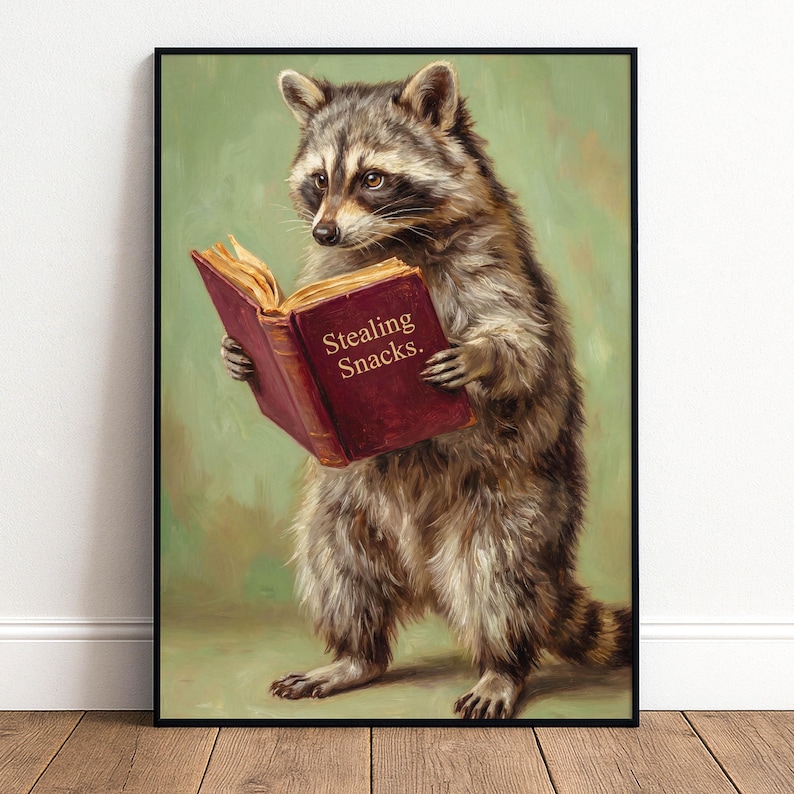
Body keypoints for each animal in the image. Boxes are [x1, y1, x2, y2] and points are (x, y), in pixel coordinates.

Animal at [221, 61, 632, 719]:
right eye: (319, 180)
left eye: (372, 178)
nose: (326, 231)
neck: (391, 242)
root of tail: (421, 576)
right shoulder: (329, 266)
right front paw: (244, 355)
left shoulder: (494, 268)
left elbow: (525, 345)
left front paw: (483, 356)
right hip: (346, 509)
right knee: (337, 567)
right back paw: (354, 654)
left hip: (512, 507)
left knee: (497, 582)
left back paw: (501, 667)